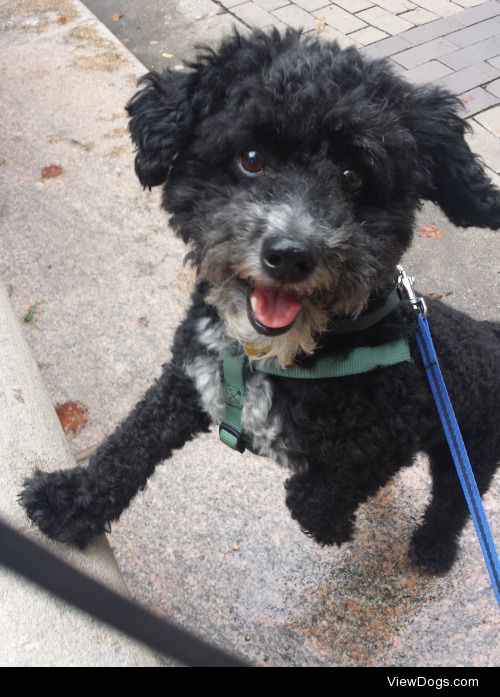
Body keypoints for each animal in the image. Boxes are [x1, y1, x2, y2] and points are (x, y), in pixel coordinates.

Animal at [19, 28, 500, 572]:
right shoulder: (190, 374)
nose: (290, 255)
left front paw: (332, 525)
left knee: (454, 503)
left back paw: (433, 549)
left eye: (354, 176)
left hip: (471, 450)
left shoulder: (393, 434)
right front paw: (70, 501)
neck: (269, 357)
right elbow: (130, 444)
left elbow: (316, 494)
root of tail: (491, 331)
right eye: (251, 158)